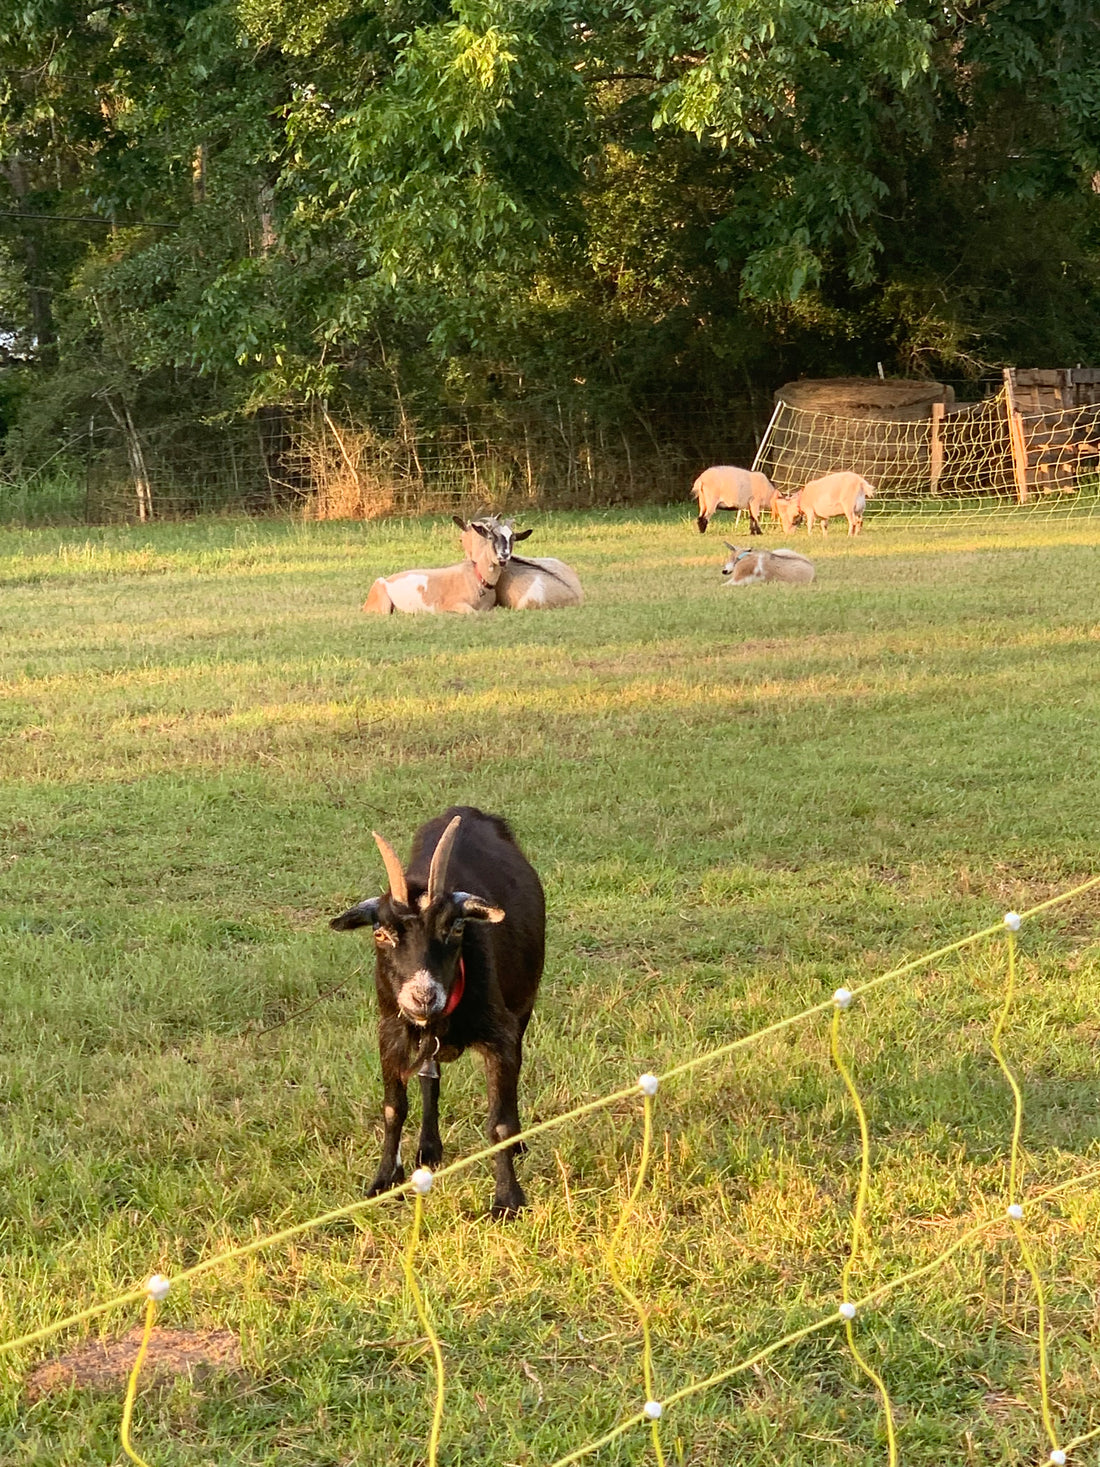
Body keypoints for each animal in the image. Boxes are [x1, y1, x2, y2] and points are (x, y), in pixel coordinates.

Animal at [331, 803, 548, 1214]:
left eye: (456, 928)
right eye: (380, 933)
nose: (423, 996)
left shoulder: (500, 1034)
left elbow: (499, 1122)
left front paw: (507, 1200)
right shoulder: (390, 1031)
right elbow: (393, 1108)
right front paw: (383, 1180)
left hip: (524, 1004)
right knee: (428, 1077)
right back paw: (428, 1149)